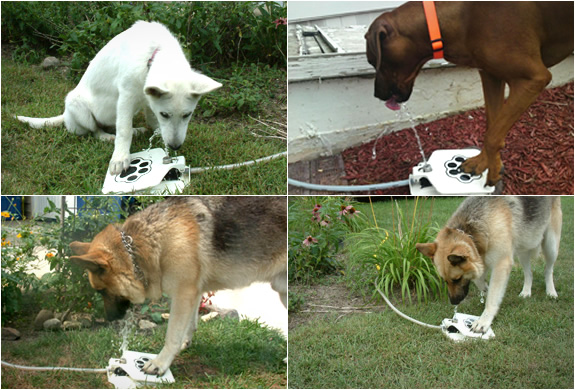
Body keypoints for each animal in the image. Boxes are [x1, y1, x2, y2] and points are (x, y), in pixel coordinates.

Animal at [17, 21, 220, 174]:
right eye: (165, 114)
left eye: (187, 115)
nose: (176, 147)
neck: (154, 52)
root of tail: (65, 116)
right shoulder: (126, 97)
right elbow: (123, 130)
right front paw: (120, 158)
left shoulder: (148, 99)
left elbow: (150, 123)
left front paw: (157, 136)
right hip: (77, 104)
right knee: (97, 131)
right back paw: (110, 138)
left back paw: (137, 130)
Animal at [71, 197, 286, 376]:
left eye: (101, 291)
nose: (109, 319)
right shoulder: (194, 292)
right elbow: (190, 324)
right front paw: (186, 342)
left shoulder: (183, 294)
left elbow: (172, 334)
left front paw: (160, 363)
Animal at [366, 1, 572, 186]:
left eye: (372, 61)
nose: (376, 94)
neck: (464, 17)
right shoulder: (491, 75)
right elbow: (493, 127)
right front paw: (484, 163)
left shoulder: (533, 79)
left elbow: (493, 136)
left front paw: (493, 172)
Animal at [418, 197, 564, 334]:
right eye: (445, 281)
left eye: (457, 279)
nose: (454, 302)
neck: (473, 230)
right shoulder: (481, 259)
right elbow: (480, 282)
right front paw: (486, 290)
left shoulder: (501, 264)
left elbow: (493, 296)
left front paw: (484, 320)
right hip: (523, 248)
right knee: (529, 273)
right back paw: (526, 291)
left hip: (550, 245)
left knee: (548, 269)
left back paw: (551, 291)